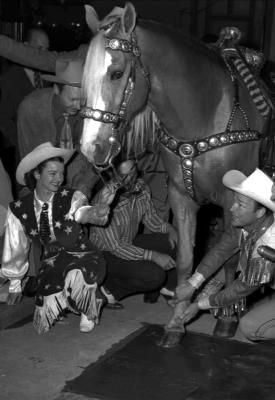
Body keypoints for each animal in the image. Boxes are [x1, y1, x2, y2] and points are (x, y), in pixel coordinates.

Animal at [81, 2, 272, 344]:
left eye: (117, 73)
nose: (91, 147)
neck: (205, 115)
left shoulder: (234, 201)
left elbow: (231, 256)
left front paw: (227, 315)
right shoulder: (181, 196)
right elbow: (185, 259)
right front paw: (176, 323)